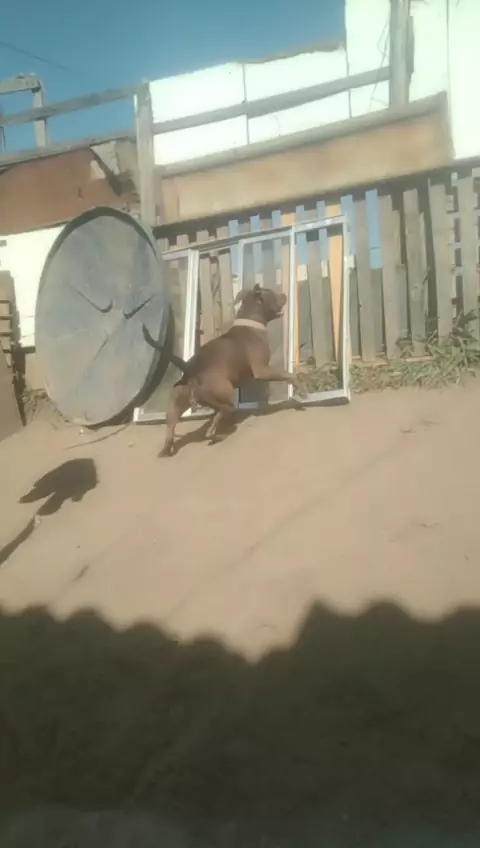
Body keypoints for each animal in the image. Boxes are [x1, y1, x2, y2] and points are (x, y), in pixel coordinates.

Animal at [143, 284, 304, 457]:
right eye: (271, 293)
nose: (284, 294)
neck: (250, 323)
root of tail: (191, 368)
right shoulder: (262, 370)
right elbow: (286, 374)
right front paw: (300, 388)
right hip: (225, 394)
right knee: (218, 418)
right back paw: (218, 433)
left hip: (175, 403)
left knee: (171, 428)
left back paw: (167, 448)